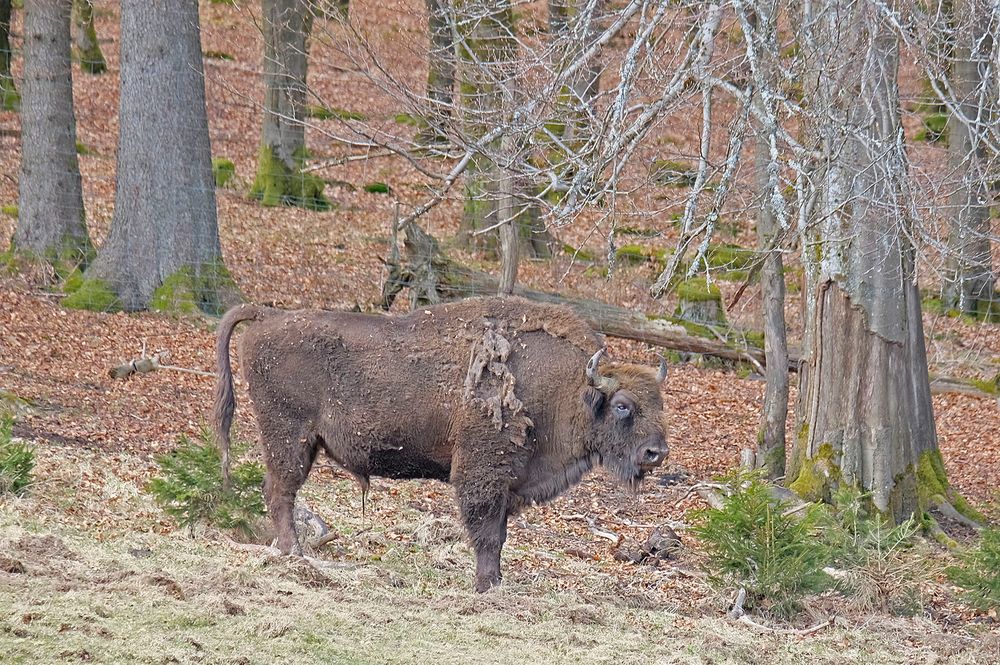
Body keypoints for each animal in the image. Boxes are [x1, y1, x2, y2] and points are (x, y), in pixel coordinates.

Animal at [212, 298, 668, 588]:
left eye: (659, 402)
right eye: (623, 406)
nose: (656, 453)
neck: (568, 388)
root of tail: (268, 316)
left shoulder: (508, 485)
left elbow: (499, 534)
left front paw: (496, 581)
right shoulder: (482, 474)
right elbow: (486, 533)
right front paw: (485, 585)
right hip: (289, 437)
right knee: (280, 493)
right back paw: (296, 556)